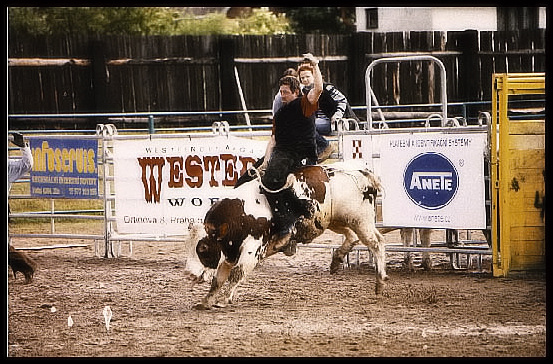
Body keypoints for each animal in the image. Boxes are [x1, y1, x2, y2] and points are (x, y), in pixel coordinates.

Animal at [192, 164, 386, 308]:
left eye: (203, 248)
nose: (192, 276)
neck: (240, 213)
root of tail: (362, 174)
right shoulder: (230, 252)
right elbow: (218, 278)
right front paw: (206, 300)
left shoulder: (252, 249)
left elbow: (237, 272)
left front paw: (224, 299)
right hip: (335, 220)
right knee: (355, 236)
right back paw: (336, 260)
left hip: (360, 220)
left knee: (376, 243)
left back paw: (380, 282)